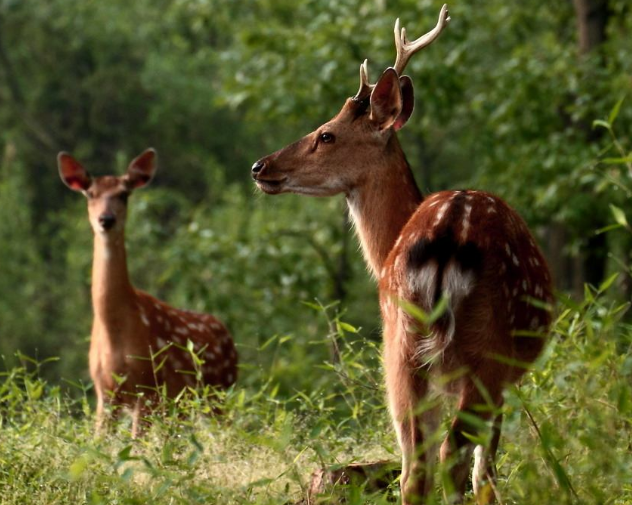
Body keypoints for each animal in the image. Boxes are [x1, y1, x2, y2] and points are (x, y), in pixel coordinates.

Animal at [58, 148, 237, 436]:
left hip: (219, 392)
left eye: (124, 194)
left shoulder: (149, 387)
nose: (106, 220)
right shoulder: (105, 394)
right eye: (90, 193)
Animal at [249, 5, 552, 502]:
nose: (260, 166)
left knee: (417, 468)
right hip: (481, 350)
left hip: (401, 345)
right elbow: (486, 473)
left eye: (326, 134)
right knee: (451, 460)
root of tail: (446, 235)